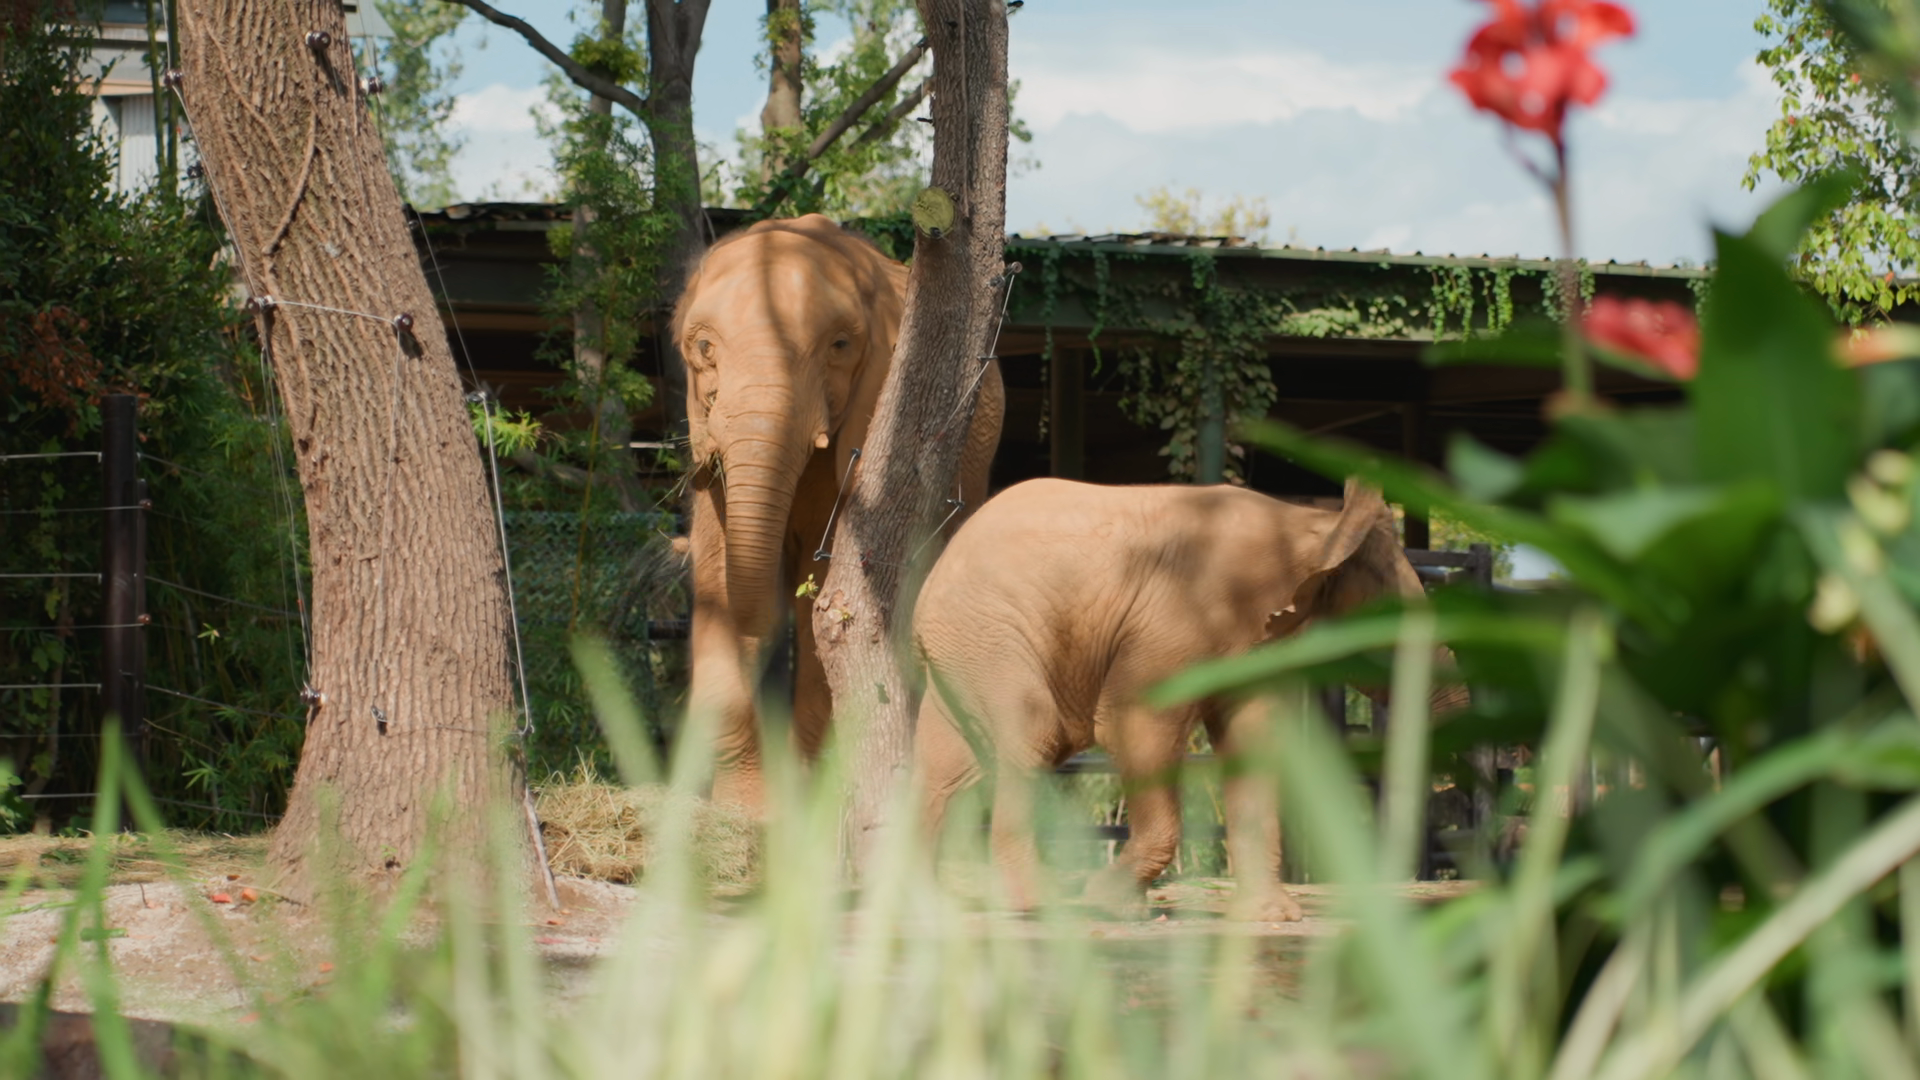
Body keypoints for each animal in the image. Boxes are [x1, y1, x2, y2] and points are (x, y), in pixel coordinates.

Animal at [675, 214, 1004, 813]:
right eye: (704, 347)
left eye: (840, 345)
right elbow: (715, 574)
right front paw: (747, 813)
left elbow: (823, 594)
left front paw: (801, 813)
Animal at [911, 476, 1424, 922]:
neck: (1310, 523)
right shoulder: (1178, 615)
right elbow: (1137, 724)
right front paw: (1110, 904)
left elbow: (1253, 742)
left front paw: (1273, 918)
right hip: (988, 635)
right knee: (1033, 734)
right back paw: (1037, 906)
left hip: (964, 653)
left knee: (946, 769)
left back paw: (927, 908)